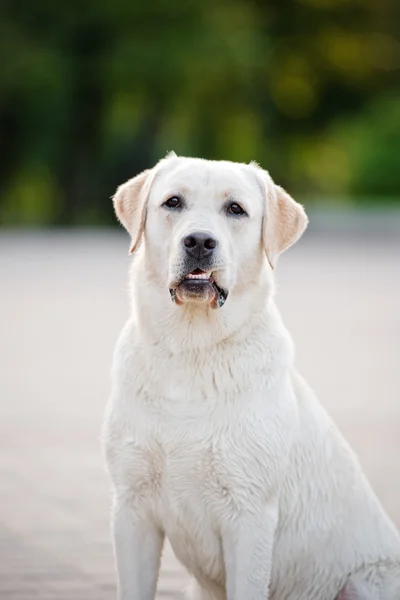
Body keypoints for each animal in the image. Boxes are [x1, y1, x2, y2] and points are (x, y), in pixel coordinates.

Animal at [102, 155, 400, 600]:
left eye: (235, 209)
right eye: (173, 202)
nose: (199, 242)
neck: (192, 351)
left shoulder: (250, 516)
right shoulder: (131, 508)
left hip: (365, 580)